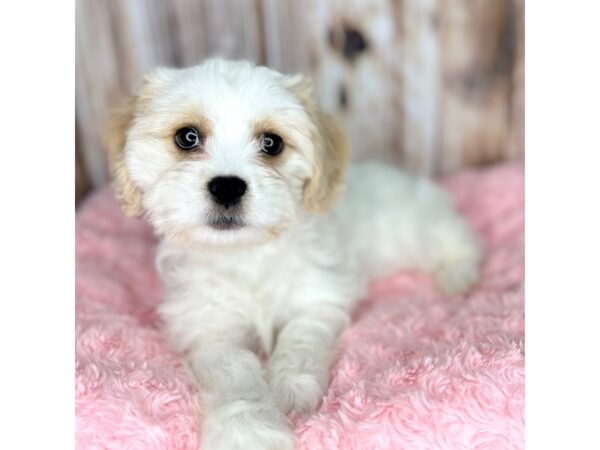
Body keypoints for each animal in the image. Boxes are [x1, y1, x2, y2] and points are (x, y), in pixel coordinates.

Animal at [108, 59, 482, 450]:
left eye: (272, 143)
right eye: (187, 137)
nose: (227, 187)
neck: (246, 255)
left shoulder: (319, 299)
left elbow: (300, 338)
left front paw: (289, 387)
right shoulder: (209, 329)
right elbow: (234, 369)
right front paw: (248, 433)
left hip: (416, 230)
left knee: (458, 238)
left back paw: (459, 276)